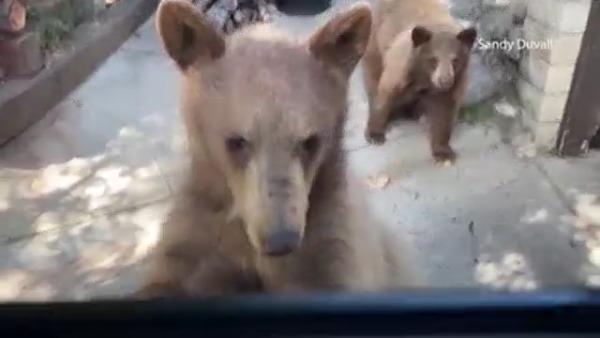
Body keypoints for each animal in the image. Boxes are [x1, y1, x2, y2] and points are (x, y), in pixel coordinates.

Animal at [137, 0, 420, 296]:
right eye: (236, 141)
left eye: (310, 141)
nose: (280, 240)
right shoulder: (198, 230)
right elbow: (174, 271)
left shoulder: (336, 242)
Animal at [360, 0, 478, 164]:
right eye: (433, 59)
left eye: (455, 60)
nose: (445, 80)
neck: (424, 76)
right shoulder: (402, 69)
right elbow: (386, 94)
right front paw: (374, 134)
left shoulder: (456, 81)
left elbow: (445, 111)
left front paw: (443, 152)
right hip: (377, 41)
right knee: (373, 75)